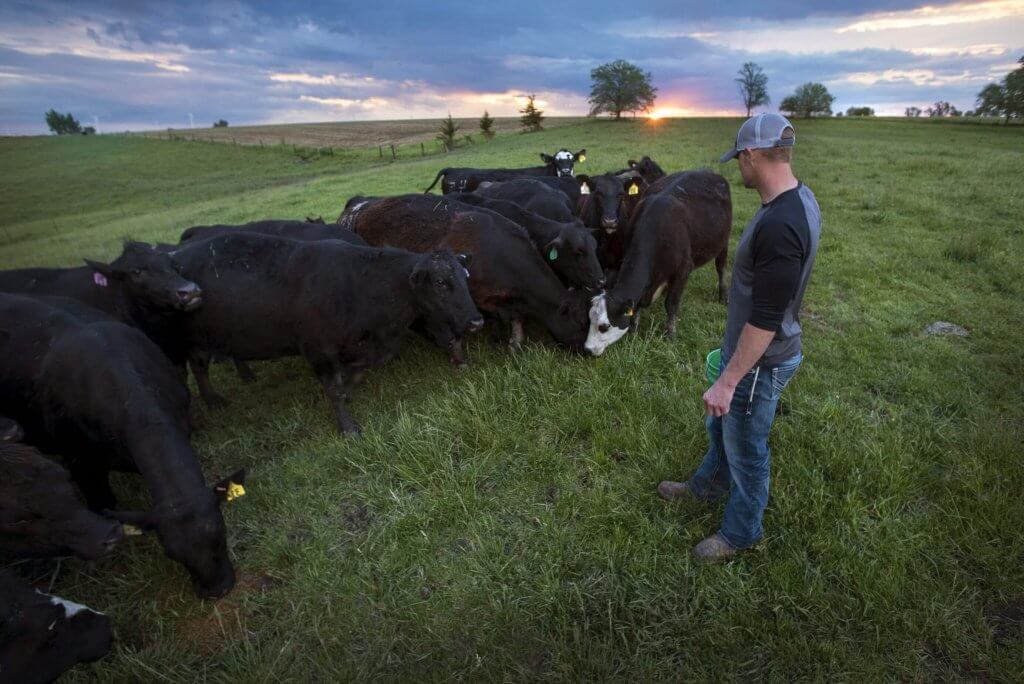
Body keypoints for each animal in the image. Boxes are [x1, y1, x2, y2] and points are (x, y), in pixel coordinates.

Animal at [169, 232, 481, 430]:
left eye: (466, 277)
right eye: (441, 282)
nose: (476, 321)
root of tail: (177, 255)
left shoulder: (359, 348)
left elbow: (355, 373)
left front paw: (350, 392)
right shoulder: (318, 351)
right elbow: (333, 390)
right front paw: (348, 426)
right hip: (192, 339)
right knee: (198, 366)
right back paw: (213, 399)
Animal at [581, 171, 733, 356]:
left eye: (604, 326)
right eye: (590, 318)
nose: (587, 349)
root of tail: (711, 173)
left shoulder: (683, 269)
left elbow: (672, 304)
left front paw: (671, 336)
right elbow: (637, 307)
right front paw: (633, 332)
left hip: (723, 241)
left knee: (721, 268)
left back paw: (723, 296)